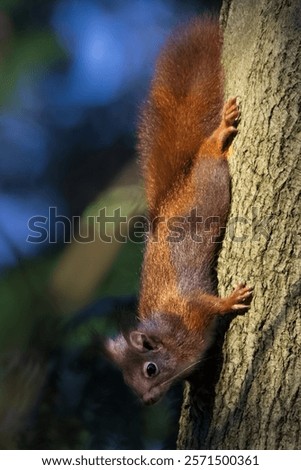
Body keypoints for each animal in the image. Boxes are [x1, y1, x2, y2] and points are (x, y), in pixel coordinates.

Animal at [102, 17, 251, 404]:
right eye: (128, 382)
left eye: (150, 369)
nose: (148, 400)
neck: (170, 334)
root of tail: (175, 188)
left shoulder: (189, 308)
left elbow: (209, 305)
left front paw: (231, 300)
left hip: (209, 174)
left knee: (209, 148)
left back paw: (221, 130)